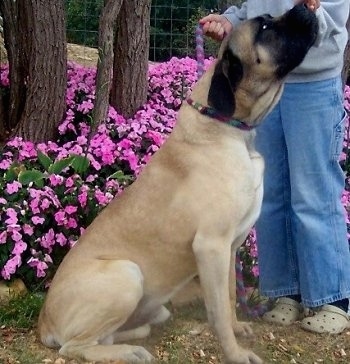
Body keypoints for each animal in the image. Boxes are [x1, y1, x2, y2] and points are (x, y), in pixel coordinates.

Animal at [39, 5, 318, 364]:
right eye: (265, 28)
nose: (305, 7)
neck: (230, 127)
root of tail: (44, 322)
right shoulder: (211, 246)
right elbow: (218, 311)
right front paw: (235, 353)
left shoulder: (230, 247)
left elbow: (229, 297)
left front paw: (237, 328)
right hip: (126, 274)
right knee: (75, 345)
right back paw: (128, 351)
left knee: (110, 335)